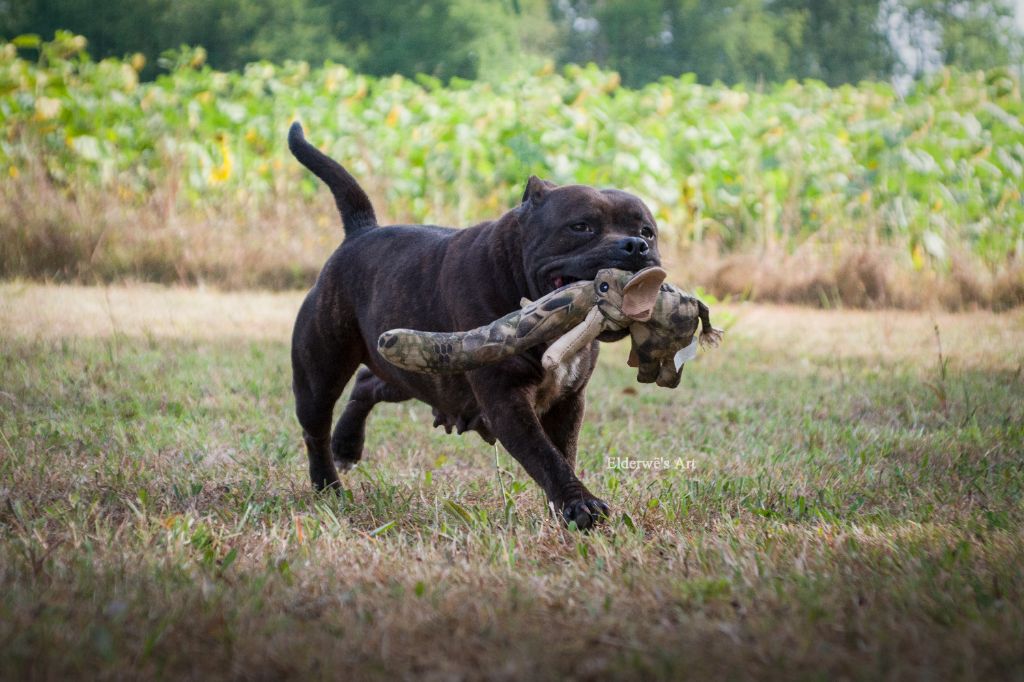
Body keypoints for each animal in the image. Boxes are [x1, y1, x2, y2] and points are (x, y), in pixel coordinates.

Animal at [284, 122, 659, 524]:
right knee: (315, 428)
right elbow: (545, 455)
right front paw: (580, 505)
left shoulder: (568, 400)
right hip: (321, 372)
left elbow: (563, 452)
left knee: (370, 383)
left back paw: (347, 445)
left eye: (648, 231)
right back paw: (328, 484)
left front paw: (565, 508)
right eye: (581, 226)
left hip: (417, 365)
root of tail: (361, 231)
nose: (635, 245)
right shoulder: (507, 399)